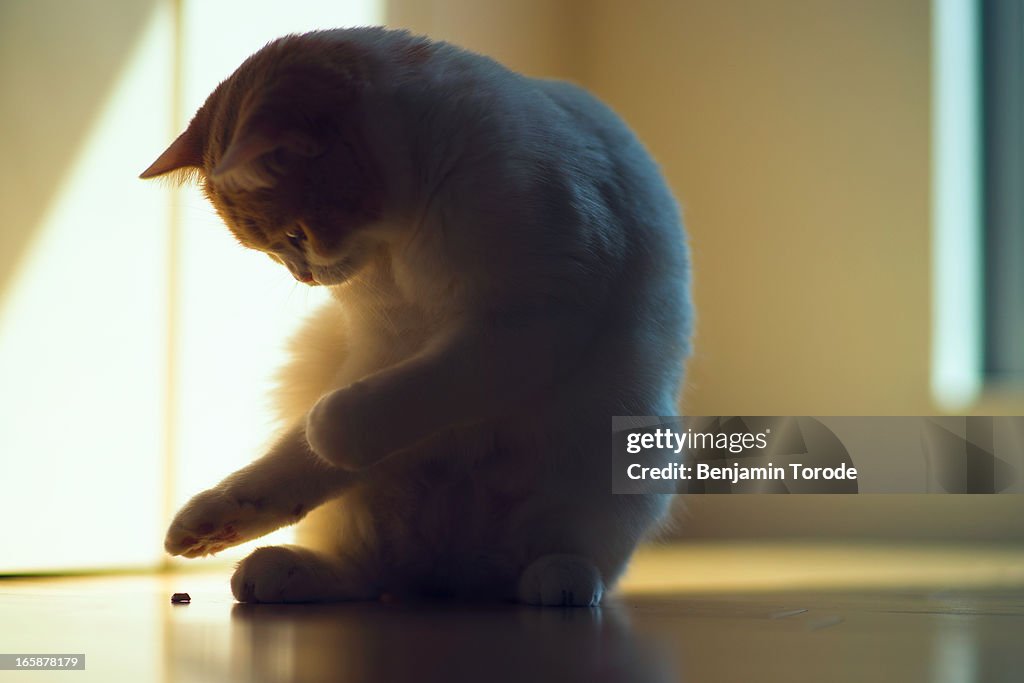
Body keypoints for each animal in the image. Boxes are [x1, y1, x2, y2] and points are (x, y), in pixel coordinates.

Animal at [140, 26, 692, 606]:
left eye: (294, 236)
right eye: (271, 250)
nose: (303, 275)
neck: (401, 246)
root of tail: (451, 576)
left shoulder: (529, 322)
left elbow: (361, 413)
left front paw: (330, 429)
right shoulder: (383, 349)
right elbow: (306, 454)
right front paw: (211, 520)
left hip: (620, 463)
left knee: (560, 554)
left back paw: (559, 580)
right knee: (365, 566)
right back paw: (271, 561)